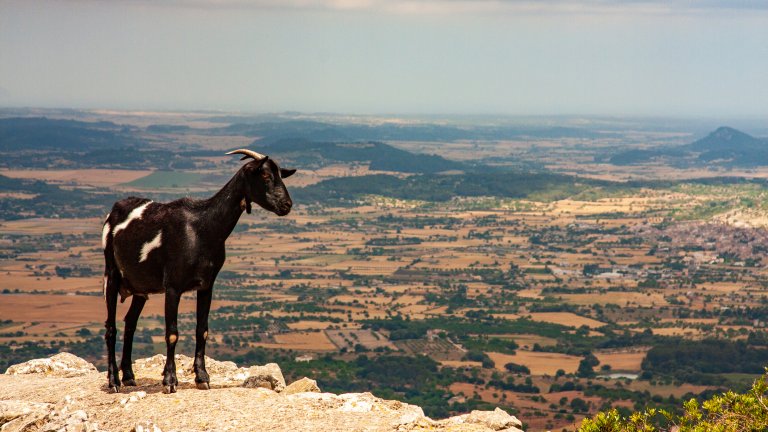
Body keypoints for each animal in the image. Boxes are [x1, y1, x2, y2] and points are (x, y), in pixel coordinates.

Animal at [102, 150, 294, 394]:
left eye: (281, 175)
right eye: (266, 175)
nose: (287, 204)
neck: (202, 227)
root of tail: (113, 211)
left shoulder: (206, 285)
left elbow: (202, 329)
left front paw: (202, 377)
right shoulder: (173, 286)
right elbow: (172, 333)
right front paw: (170, 381)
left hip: (140, 288)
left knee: (130, 324)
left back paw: (128, 376)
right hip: (111, 274)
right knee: (111, 328)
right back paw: (114, 381)